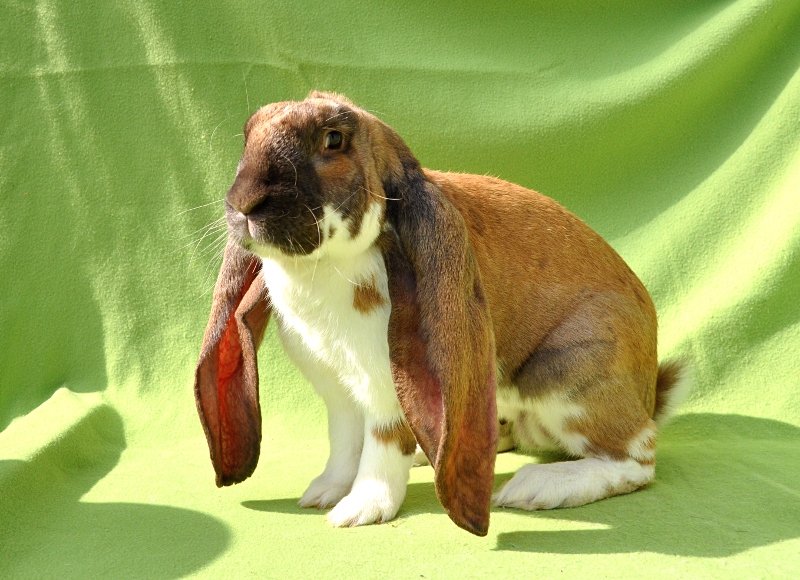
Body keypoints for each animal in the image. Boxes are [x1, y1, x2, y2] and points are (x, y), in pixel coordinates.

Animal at [194, 91, 691, 537]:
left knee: (636, 457)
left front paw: (358, 510)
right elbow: (343, 443)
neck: (322, 267)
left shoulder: (384, 387)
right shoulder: (337, 391)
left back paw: (535, 487)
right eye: (249, 133)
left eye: (333, 140)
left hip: (568, 375)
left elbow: (381, 445)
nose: (244, 202)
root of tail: (648, 391)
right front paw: (322, 493)